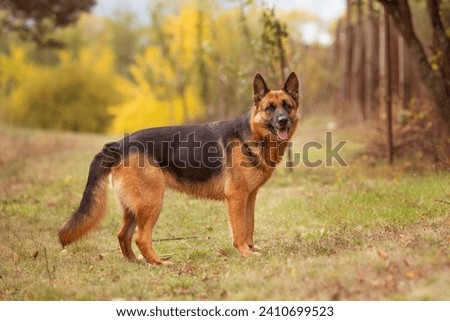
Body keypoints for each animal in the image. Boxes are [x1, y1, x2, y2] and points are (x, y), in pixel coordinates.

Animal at [59, 72, 298, 264]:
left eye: (287, 105)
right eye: (270, 108)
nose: (283, 121)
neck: (253, 136)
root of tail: (118, 144)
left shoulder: (250, 197)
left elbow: (249, 226)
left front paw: (251, 249)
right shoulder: (237, 198)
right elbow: (240, 229)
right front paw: (245, 254)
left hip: (135, 208)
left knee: (122, 235)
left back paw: (136, 262)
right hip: (152, 202)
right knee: (141, 238)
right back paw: (159, 263)